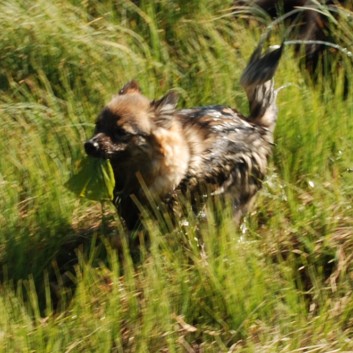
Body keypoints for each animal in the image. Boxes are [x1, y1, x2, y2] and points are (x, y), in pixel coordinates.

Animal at [84, 38, 282, 230]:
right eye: (98, 125)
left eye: (121, 132)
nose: (89, 145)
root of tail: (255, 123)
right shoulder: (130, 210)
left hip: (230, 197)